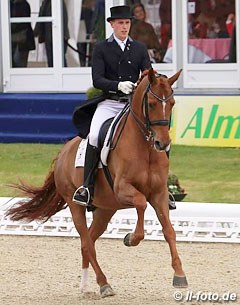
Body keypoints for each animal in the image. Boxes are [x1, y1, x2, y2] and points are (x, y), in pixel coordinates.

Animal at [6, 68, 188, 296]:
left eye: (172, 103)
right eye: (152, 104)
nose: (162, 143)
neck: (144, 147)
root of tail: (64, 151)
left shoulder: (159, 193)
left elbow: (169, 231)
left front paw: (180, 275)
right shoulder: (122, 189)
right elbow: (140, 203)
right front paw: (131, 238)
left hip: (105, 209)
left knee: (90, 240)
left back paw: (86, 286)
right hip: (75, 205)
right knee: (86, 242)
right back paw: (103, 284)